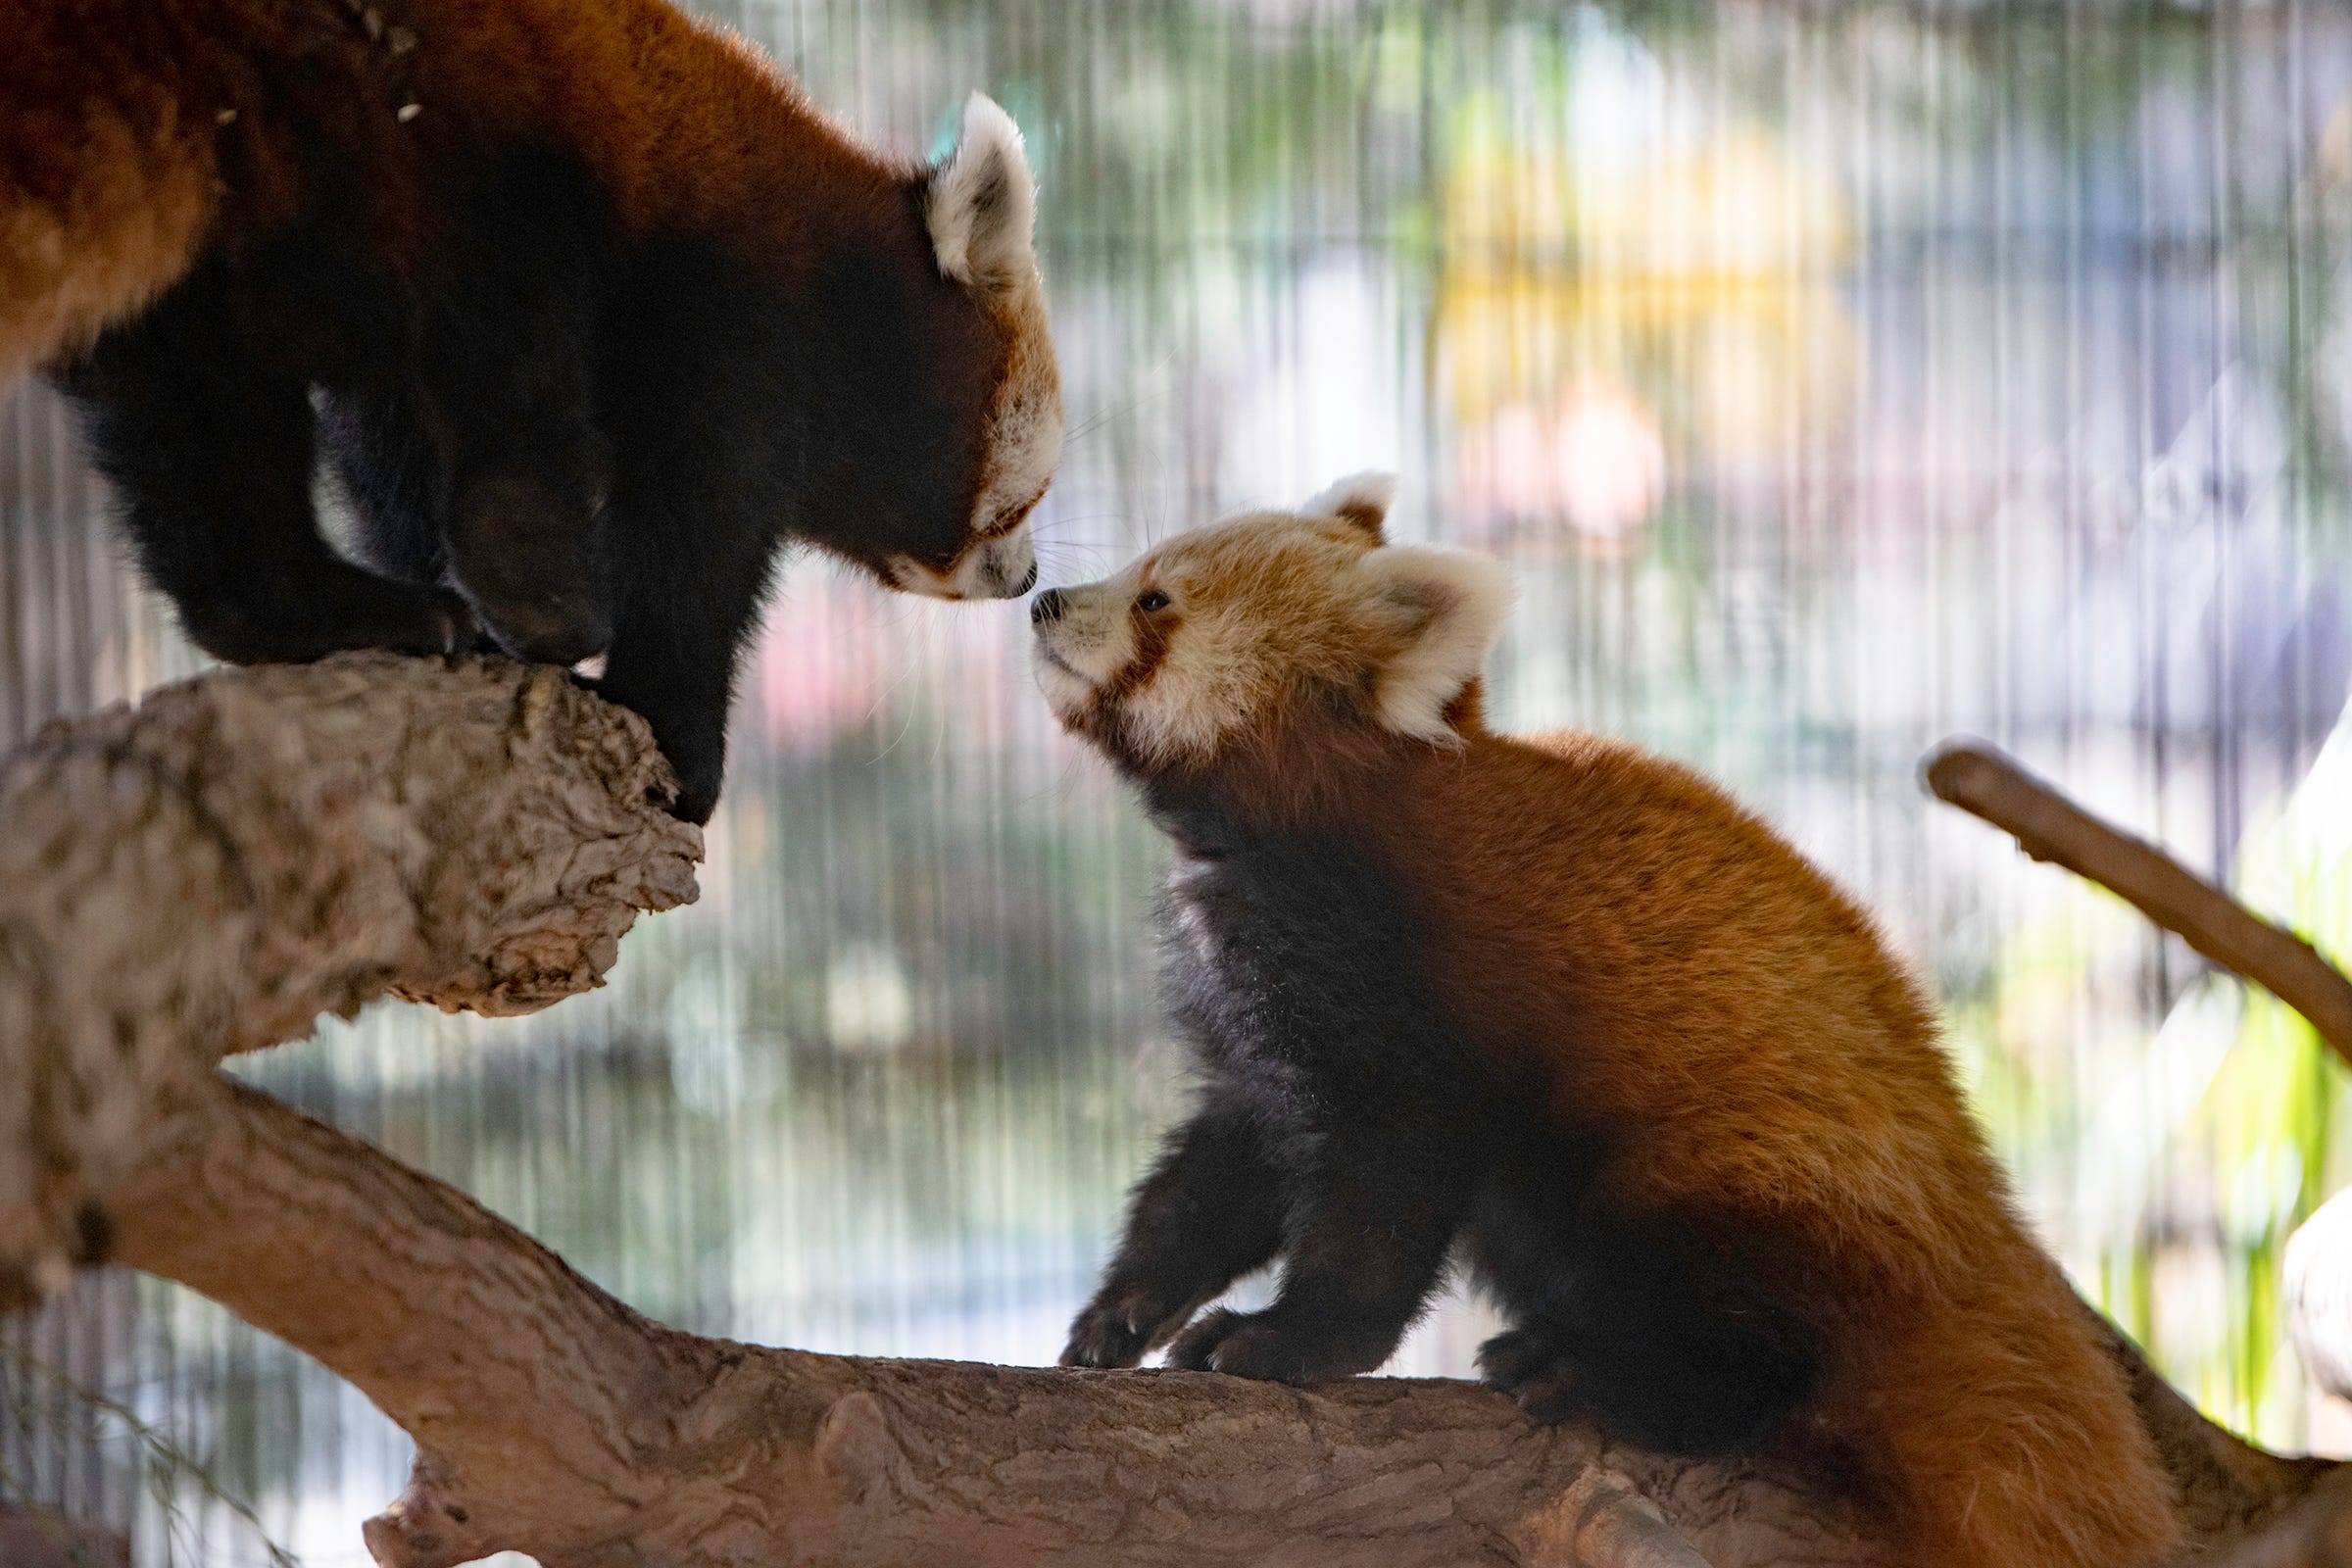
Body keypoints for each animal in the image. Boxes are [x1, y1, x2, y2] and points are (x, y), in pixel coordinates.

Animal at [0, 0, 1062, 827]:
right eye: (1023, 501)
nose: (1025, 578)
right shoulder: (726, 319)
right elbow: (696, 532)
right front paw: (677, 732)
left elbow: (386, 466)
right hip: (417, 133)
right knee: (501, 349)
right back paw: (538, 589)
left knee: (197, 421)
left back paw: (318, 610)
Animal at [1039, 474, 2173, 1568]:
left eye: (1154, 600)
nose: (1045, 600)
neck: (1264, 838)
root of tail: (1971, 1230)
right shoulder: (1253, 1018)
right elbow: (1221, 1171)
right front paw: (1121, 1312)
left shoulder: (1395, 984)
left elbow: (1386, 1183)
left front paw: (1289, 1339)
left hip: (1736, 1168)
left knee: (1748, 1328)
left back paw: (1589, 1367)